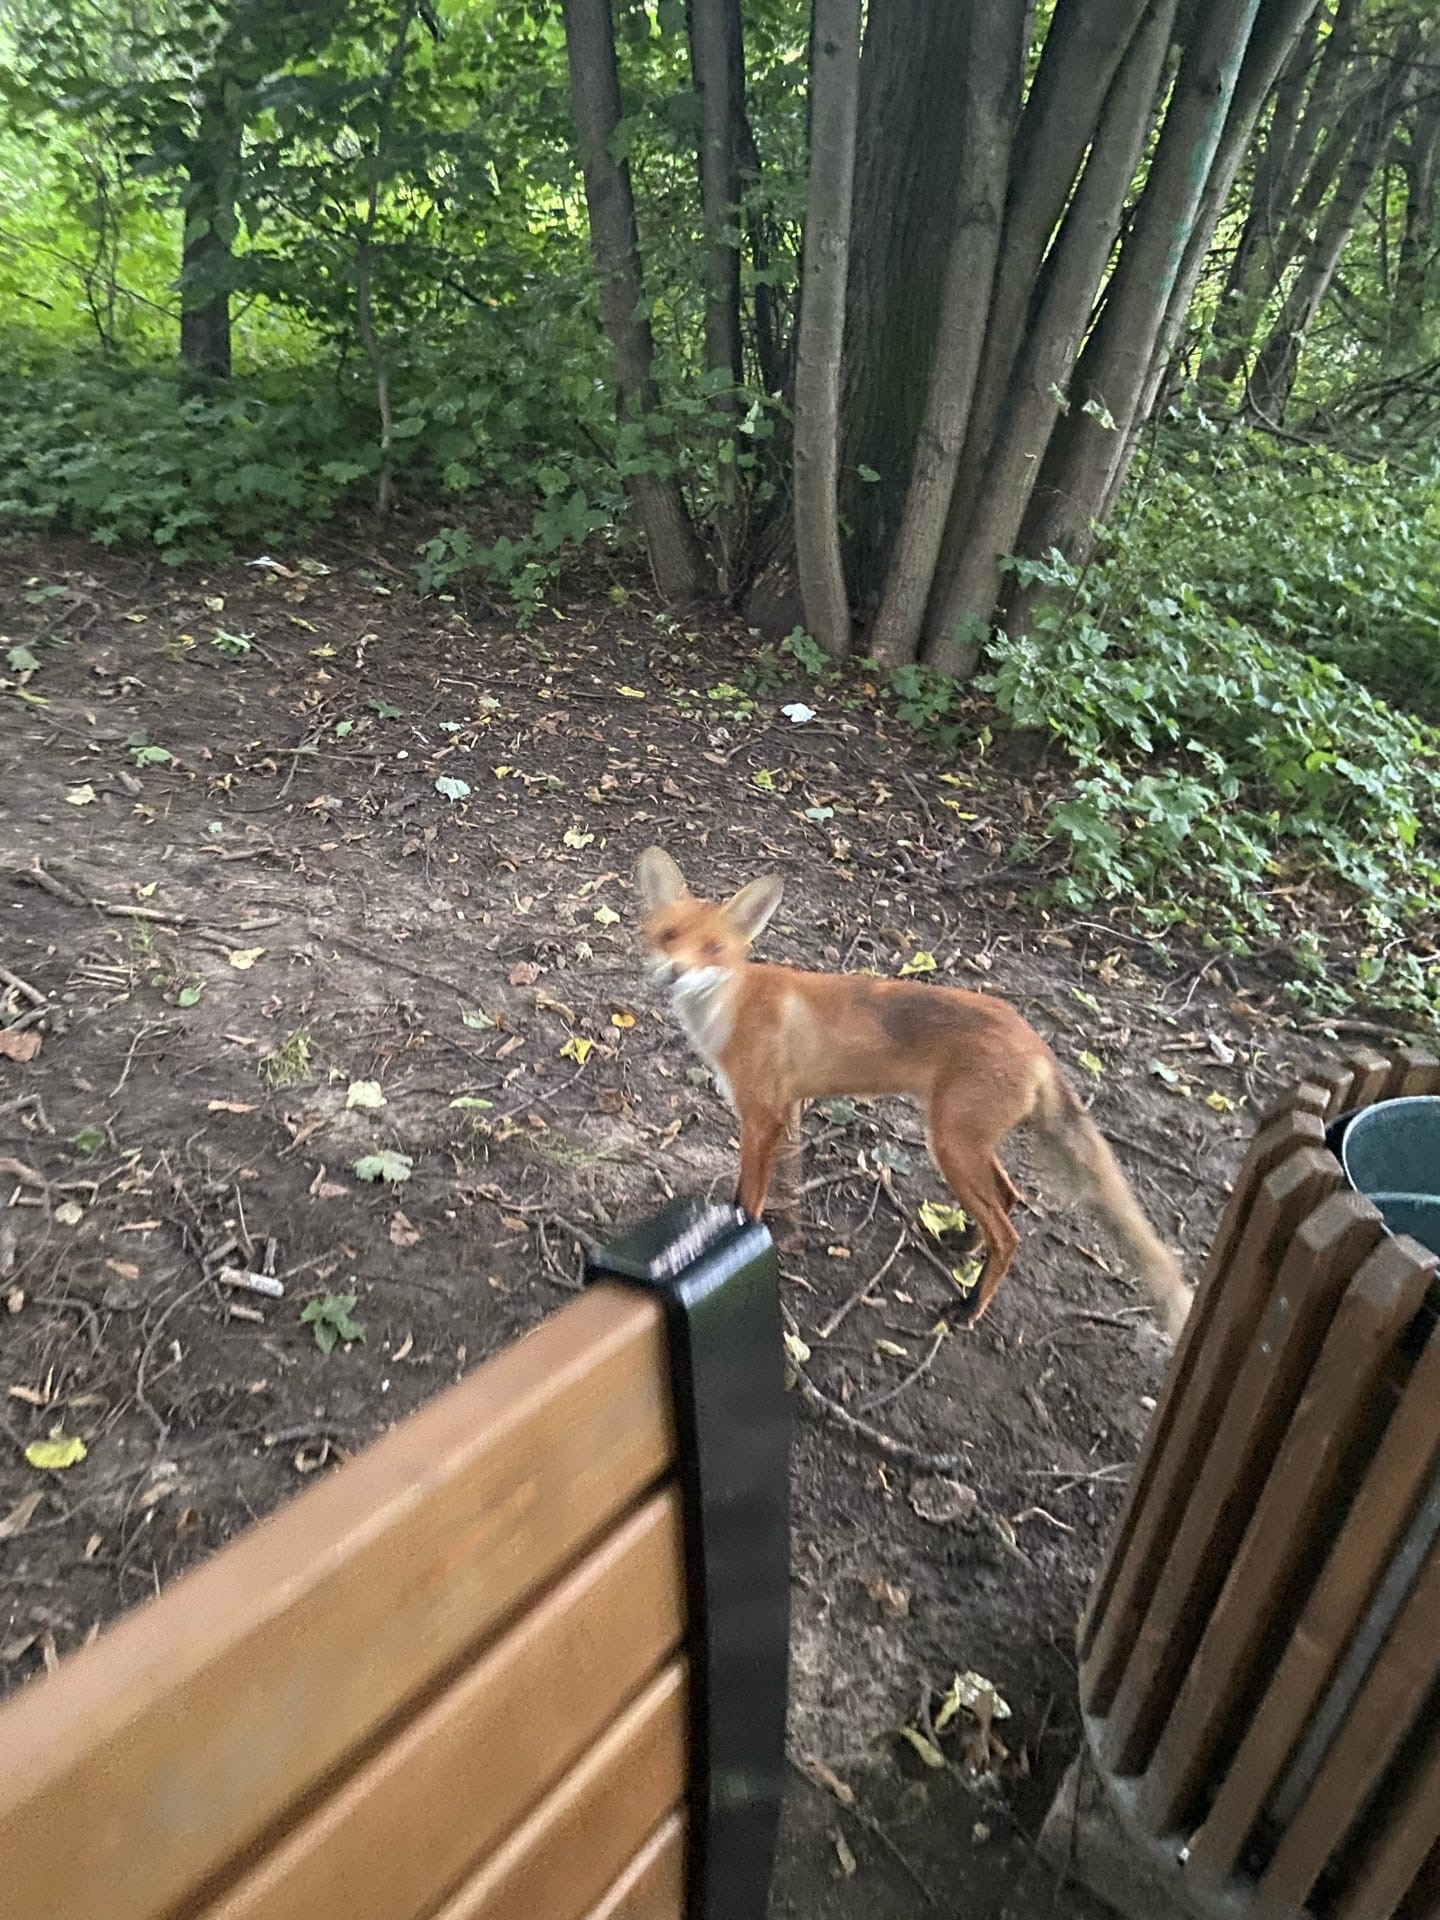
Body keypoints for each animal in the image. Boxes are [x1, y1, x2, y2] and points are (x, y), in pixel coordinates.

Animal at [633, 848, 1198, 1344]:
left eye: (714, 950)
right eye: (669, 937)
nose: (673, 974)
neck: (729, 1010)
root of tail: (1035, 1040)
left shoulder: (762, 1117)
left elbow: (745, 1199)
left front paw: (741, 1240)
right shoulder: (785, 1111)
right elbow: (775, 1186)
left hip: (949, 1143)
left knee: (1009, 1232)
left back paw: (969, 1307)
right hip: (966, 1145)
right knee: (1008, 1199)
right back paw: (963, 1246)